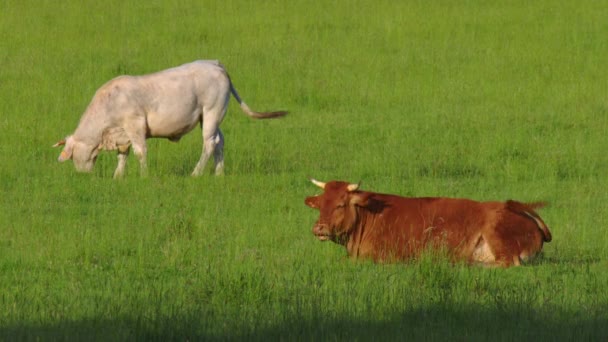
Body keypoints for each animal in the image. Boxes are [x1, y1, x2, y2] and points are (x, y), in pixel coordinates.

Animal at [54, 61, 288, 178]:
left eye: (71, 155)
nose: (83, 175)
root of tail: (215, 64)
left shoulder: (135, 125)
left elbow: (140, 152)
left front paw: (144, 176)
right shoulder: (122, 134)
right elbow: (123, 155)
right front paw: (118, 177)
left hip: (212, 112)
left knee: (209, 144)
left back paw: (196, 173)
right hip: (210, 118)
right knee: (220, 141)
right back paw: (218, 173)